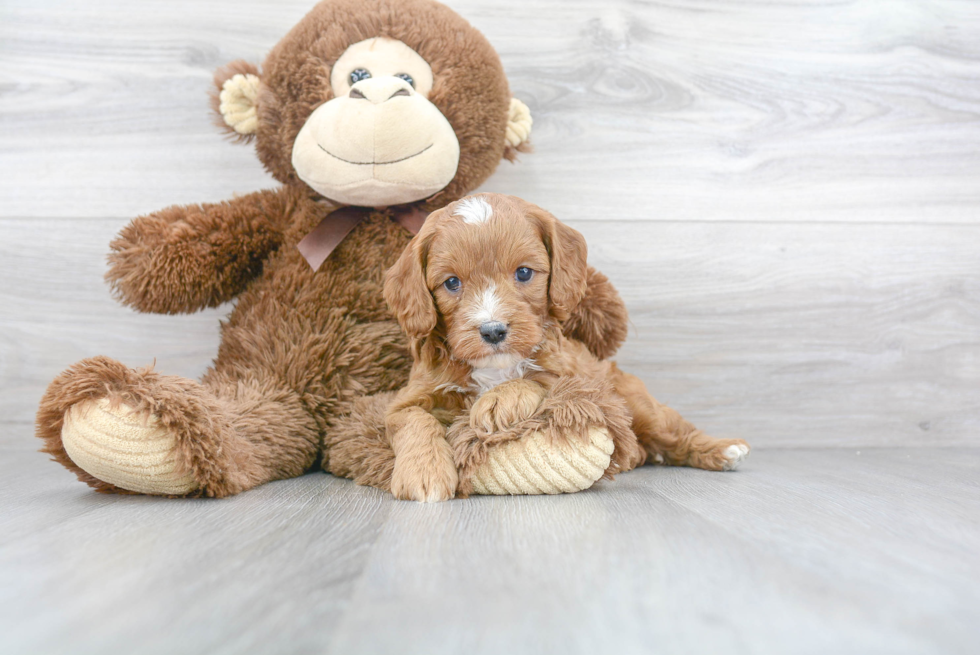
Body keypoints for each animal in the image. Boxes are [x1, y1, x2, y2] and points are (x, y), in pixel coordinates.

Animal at [382, 193, 752, 502]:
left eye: (524, 273)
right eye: (452, 283)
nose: (493, 330)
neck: (495, 368)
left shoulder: (574, 376)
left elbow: (538, 380)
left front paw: (499, 399)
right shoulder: (409, 397)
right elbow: (413, 419)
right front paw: (424, 473)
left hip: (636, 402)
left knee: (674, 432)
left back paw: (724, 449)